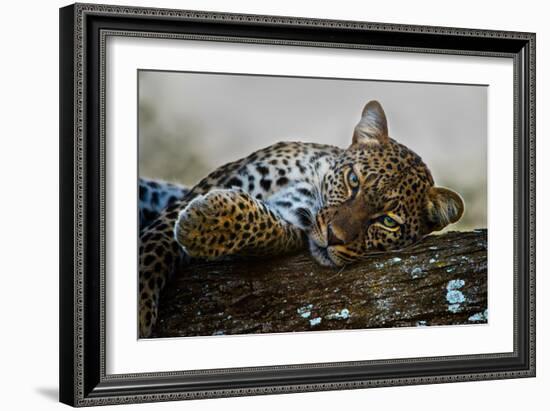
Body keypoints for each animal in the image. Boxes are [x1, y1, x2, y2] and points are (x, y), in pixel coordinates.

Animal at [139, 100, 466, 338]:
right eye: (353, 180)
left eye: (388, 222)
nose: (334, 237)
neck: (311, 181)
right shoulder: (201, 190)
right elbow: (154, 249)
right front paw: (140, 311)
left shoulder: (293, 223)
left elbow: (264, 226)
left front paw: (203, 223)